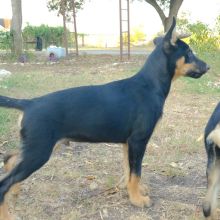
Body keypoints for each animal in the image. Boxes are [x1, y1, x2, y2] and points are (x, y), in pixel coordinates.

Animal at [0, 18, 209, 219]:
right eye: (189, 52)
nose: (208, 66)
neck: (150, 85)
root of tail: (29, 103)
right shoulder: (138, 141)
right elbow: (136, 172)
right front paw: (137, 199)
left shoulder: (128, 143)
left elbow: (129, 170)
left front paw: (133, 190)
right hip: (39, 151)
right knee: (4, 184)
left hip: (39, 146)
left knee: (10, 159)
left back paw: (15, 190)